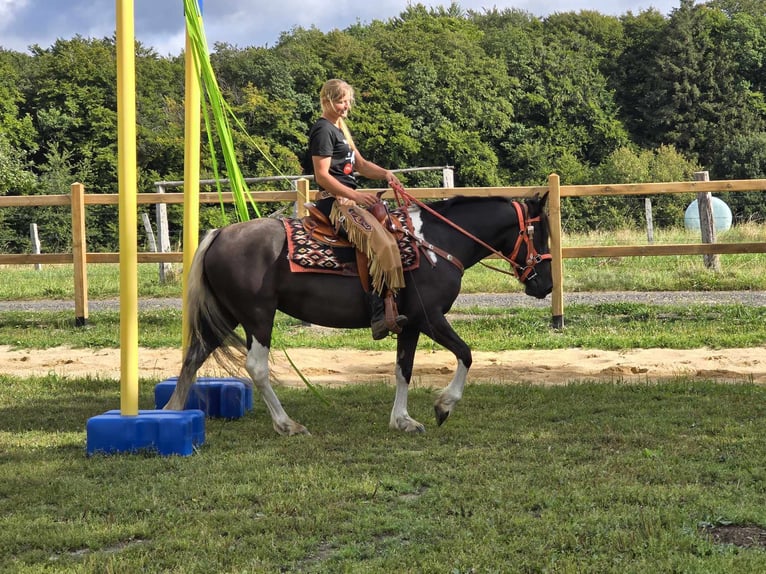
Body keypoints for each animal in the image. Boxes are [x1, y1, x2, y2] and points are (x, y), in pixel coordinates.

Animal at [165, 191, 556, 434]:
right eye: (539, 236)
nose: (547, 285)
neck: (436, 245)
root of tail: (219, 234)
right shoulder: (430, 317)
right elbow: (466, 353)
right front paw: (444, 406)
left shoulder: (410, 325)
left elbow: (403, 369)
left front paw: (402, 420)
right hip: (258, 316)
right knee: (256, 367)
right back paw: (287, 424)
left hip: (227, 315)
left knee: (193, 356)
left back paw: (171, 412)